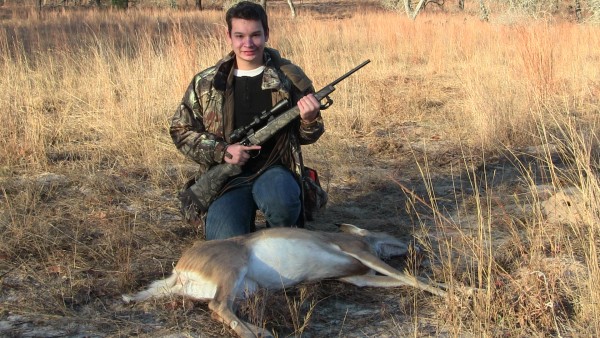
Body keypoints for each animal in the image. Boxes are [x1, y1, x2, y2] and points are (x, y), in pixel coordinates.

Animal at [120, 223, 450, 336]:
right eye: (386, 232)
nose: (414, 246)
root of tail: (179, 269)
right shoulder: (363, 254)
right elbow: (411, 278)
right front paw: (456, 292)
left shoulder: (360, 279)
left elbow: (404, 280)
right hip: (233, 271)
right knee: (218, 306)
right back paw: (260, 334)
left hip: (246, 290)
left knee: (218, 309)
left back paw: (260, 330)